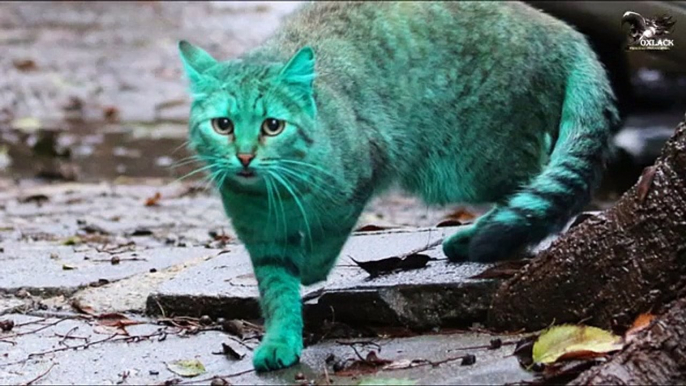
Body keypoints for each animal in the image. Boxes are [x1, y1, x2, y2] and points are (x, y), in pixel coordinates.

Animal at [180, 1, 620, 372]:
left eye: (272, 125)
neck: (275, 195)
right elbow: (277, 294)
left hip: (480, 158)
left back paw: (479, 237)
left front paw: (311, 269)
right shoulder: (265, 244)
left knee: (529, 190)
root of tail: (559, 27)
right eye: (223, 125)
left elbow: (324, 241)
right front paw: (281, 340)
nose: (244, 156)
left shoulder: (360, 178)